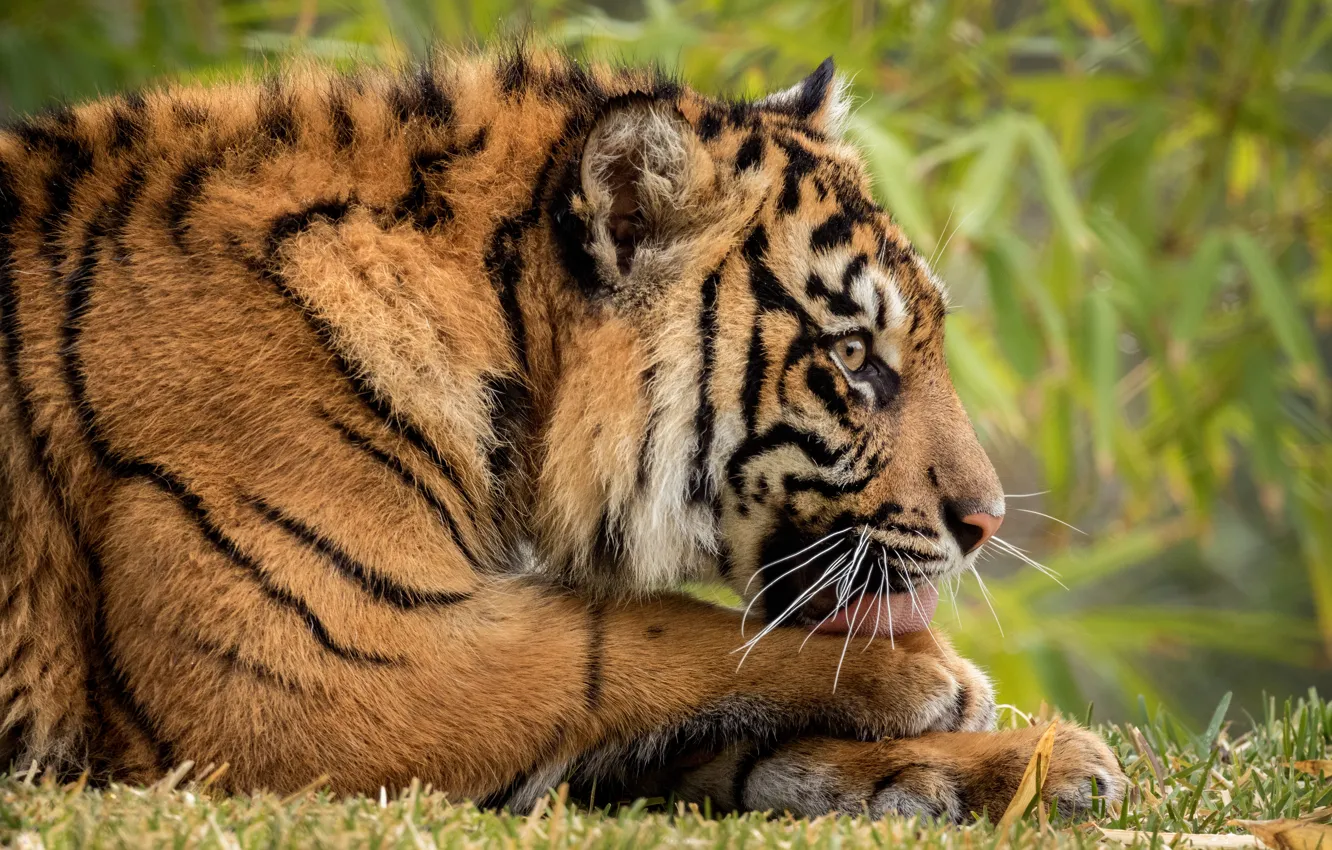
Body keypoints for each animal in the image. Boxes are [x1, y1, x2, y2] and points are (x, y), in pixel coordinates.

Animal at [0, 46, 1125, 819]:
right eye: (853, 358)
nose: (985, 521)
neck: (495, 328)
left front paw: (1034, 765)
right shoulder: (305, 664)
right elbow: (642, 635)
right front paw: (938, 681)